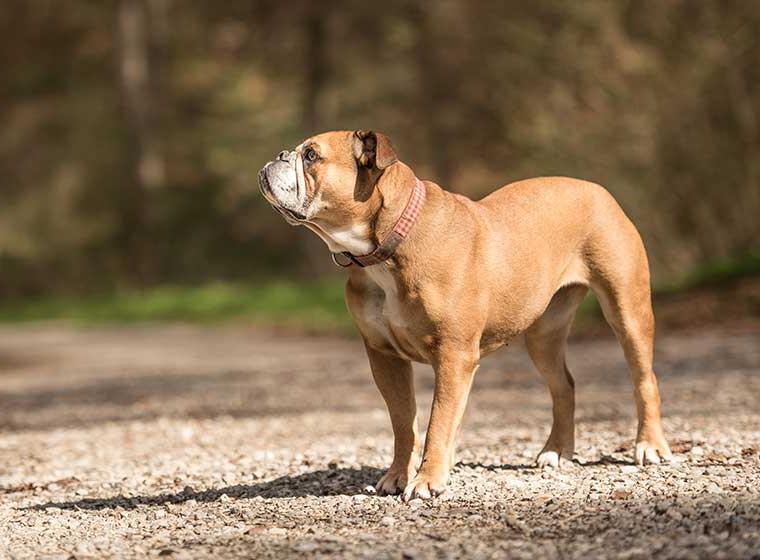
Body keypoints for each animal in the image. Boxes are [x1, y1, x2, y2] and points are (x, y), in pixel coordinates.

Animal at [260, 130, 672, 498]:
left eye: (311, 156)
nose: (278, 154)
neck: (387, 246)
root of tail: (596, 190)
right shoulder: (384, 357)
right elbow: (403, 422)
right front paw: (398, 475)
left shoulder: (453, 356)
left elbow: (438, 421)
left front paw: (427, 481)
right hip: (543, 335)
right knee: (563, 386)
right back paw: (557, 451)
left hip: (627, 310)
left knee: (644, 379)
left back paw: (649, 446)